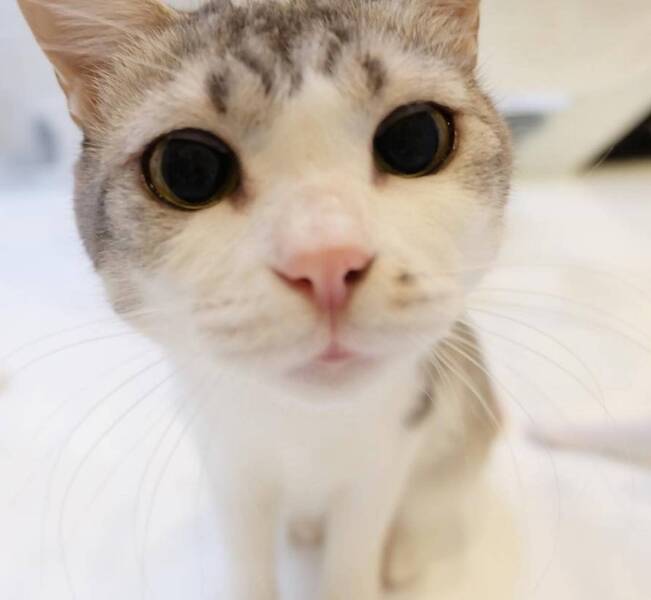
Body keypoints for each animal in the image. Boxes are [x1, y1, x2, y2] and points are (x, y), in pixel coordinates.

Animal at [18, 1, 512, 598]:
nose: (326, 260)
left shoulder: (388, 455)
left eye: (415, 139)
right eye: (187, 169)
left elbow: (355, 558)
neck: (301, 423)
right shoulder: (228, 467)